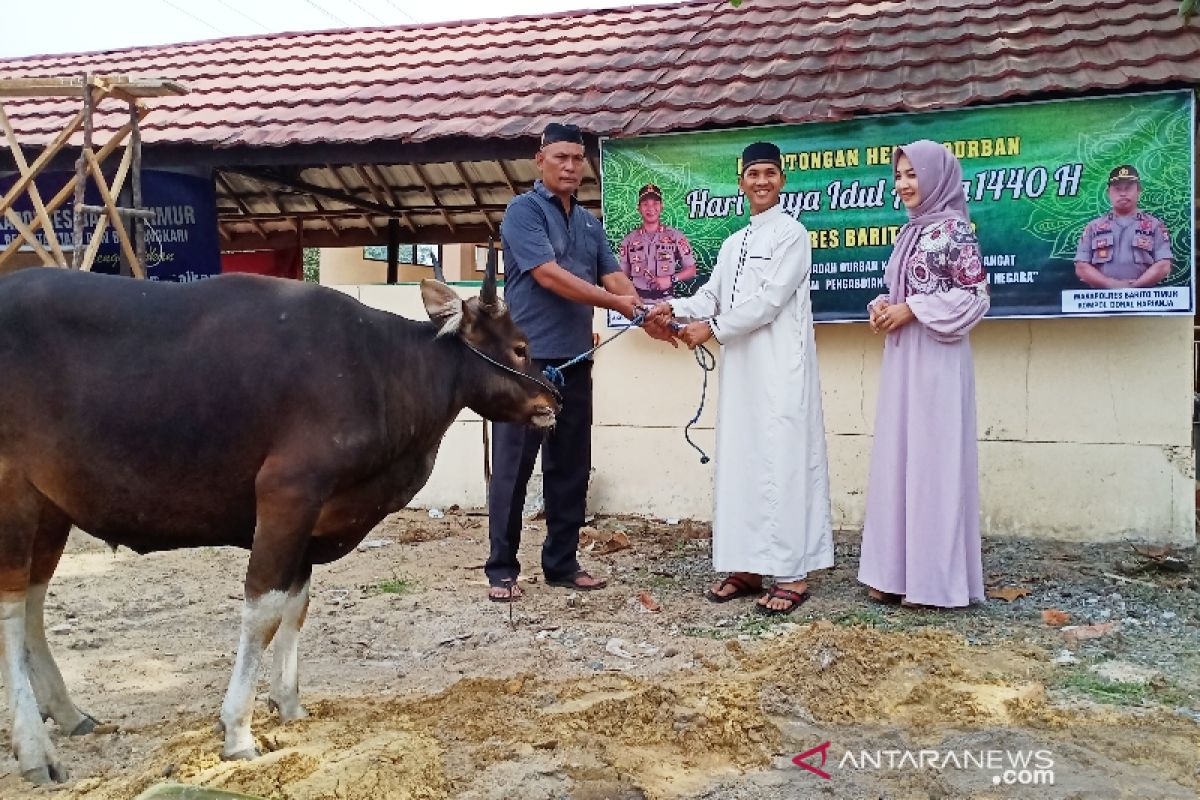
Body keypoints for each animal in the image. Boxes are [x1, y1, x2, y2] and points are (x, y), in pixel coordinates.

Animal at [0, 253, 556, 786]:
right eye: (521, 347)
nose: (555, 399)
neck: (380, 368)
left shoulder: (312, 521)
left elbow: (297, 604)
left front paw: (288, 703)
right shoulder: (287, 497)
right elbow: (264, 610)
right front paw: (237, 730)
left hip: (50, 508)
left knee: (33, 603)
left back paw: (68, 712)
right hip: (13, 496)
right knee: (10, 608)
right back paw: (35, 749)